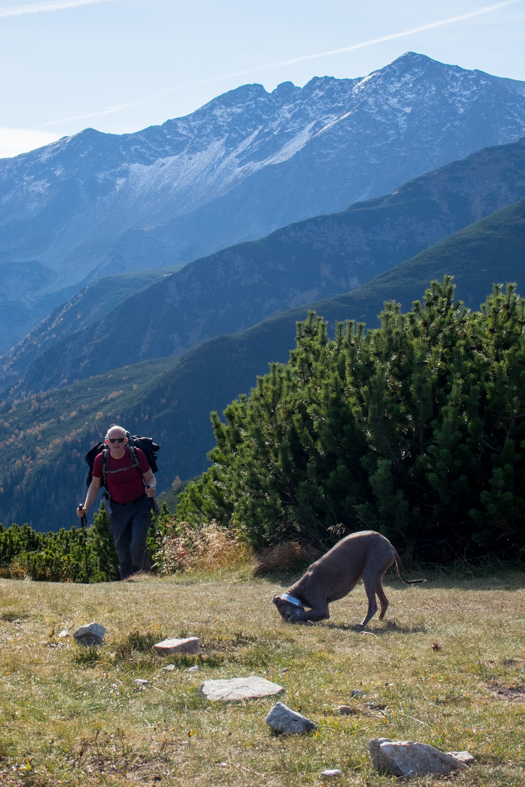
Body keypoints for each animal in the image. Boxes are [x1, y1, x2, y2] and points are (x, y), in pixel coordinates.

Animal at [272, 528, 424, 628]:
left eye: (286, 615)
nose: (288, 619)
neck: (298, 592)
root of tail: (390, 546)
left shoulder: (319, 604)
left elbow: (304, 615)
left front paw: (297, 618)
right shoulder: (322, 609)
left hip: (370, 573)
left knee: (373, 605)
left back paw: (362, 625)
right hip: (377, 576)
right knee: (384, 601)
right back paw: (379, 620)